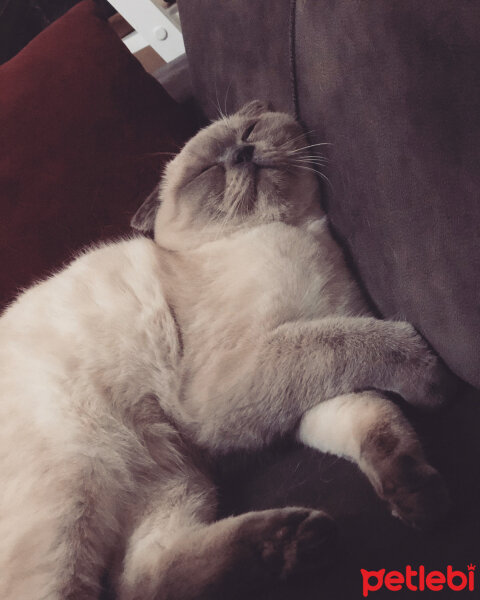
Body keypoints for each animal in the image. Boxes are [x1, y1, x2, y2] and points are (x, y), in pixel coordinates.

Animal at [0, 101, 454, 596]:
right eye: (208, 171)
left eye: (249, 132)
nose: (242, 154)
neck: (295, 234)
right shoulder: (246, 372)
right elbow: (356, 343)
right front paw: (433, 378)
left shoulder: (307, 390)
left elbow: (374, 419)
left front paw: (419, 498)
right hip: (74, 501)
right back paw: (296, 544)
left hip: (176, 480)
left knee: (143, 580)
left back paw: (294, 542)